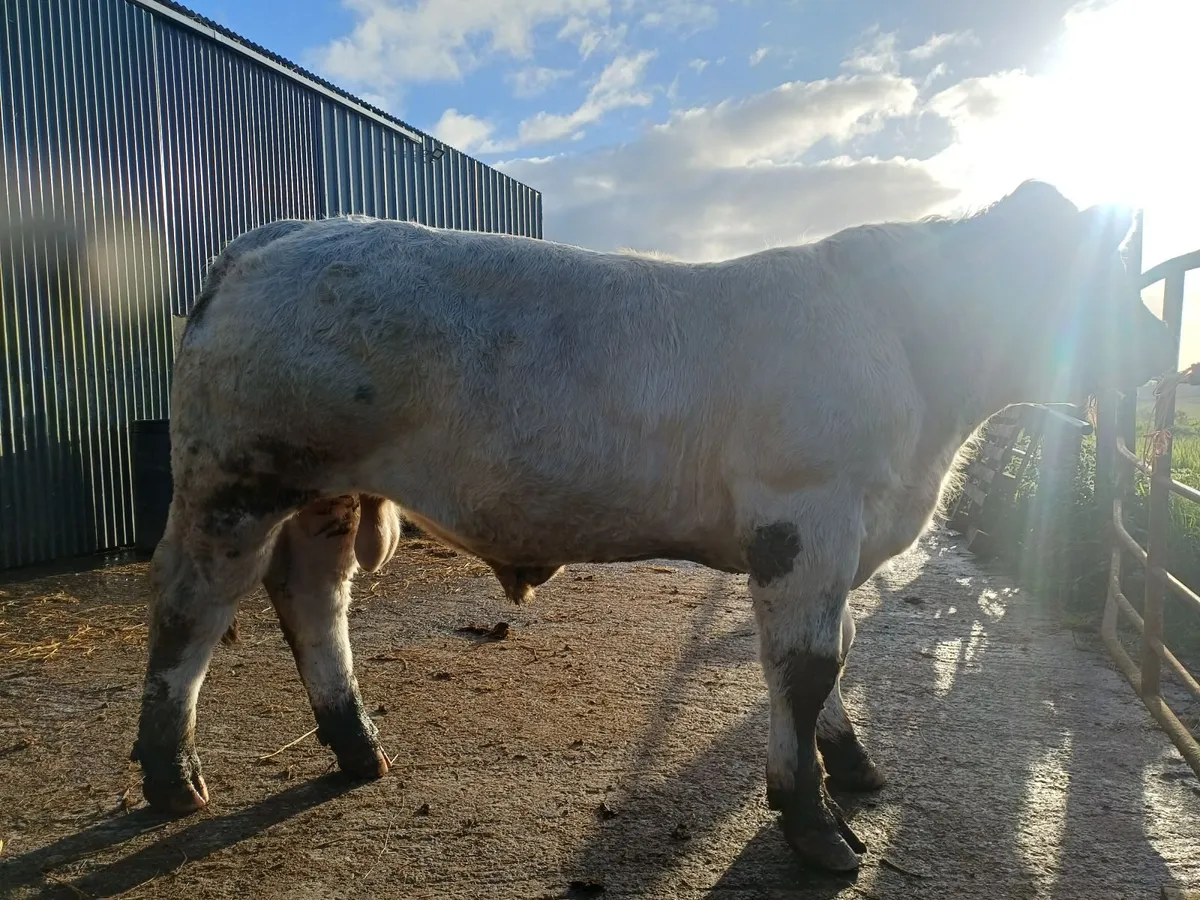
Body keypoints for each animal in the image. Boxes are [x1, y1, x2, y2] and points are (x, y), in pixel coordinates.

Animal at [130, 181, 1172, 872]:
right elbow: (807, 665)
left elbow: (832, 651)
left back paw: (356, 745)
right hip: (237, 478)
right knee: (190, 607)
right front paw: (812, 824)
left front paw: (851, 766)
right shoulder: (804, 512)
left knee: (313, 599)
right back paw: (172, 776)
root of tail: (280, 233)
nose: (1163, 357)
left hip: (322, 495)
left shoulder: (839, 534)